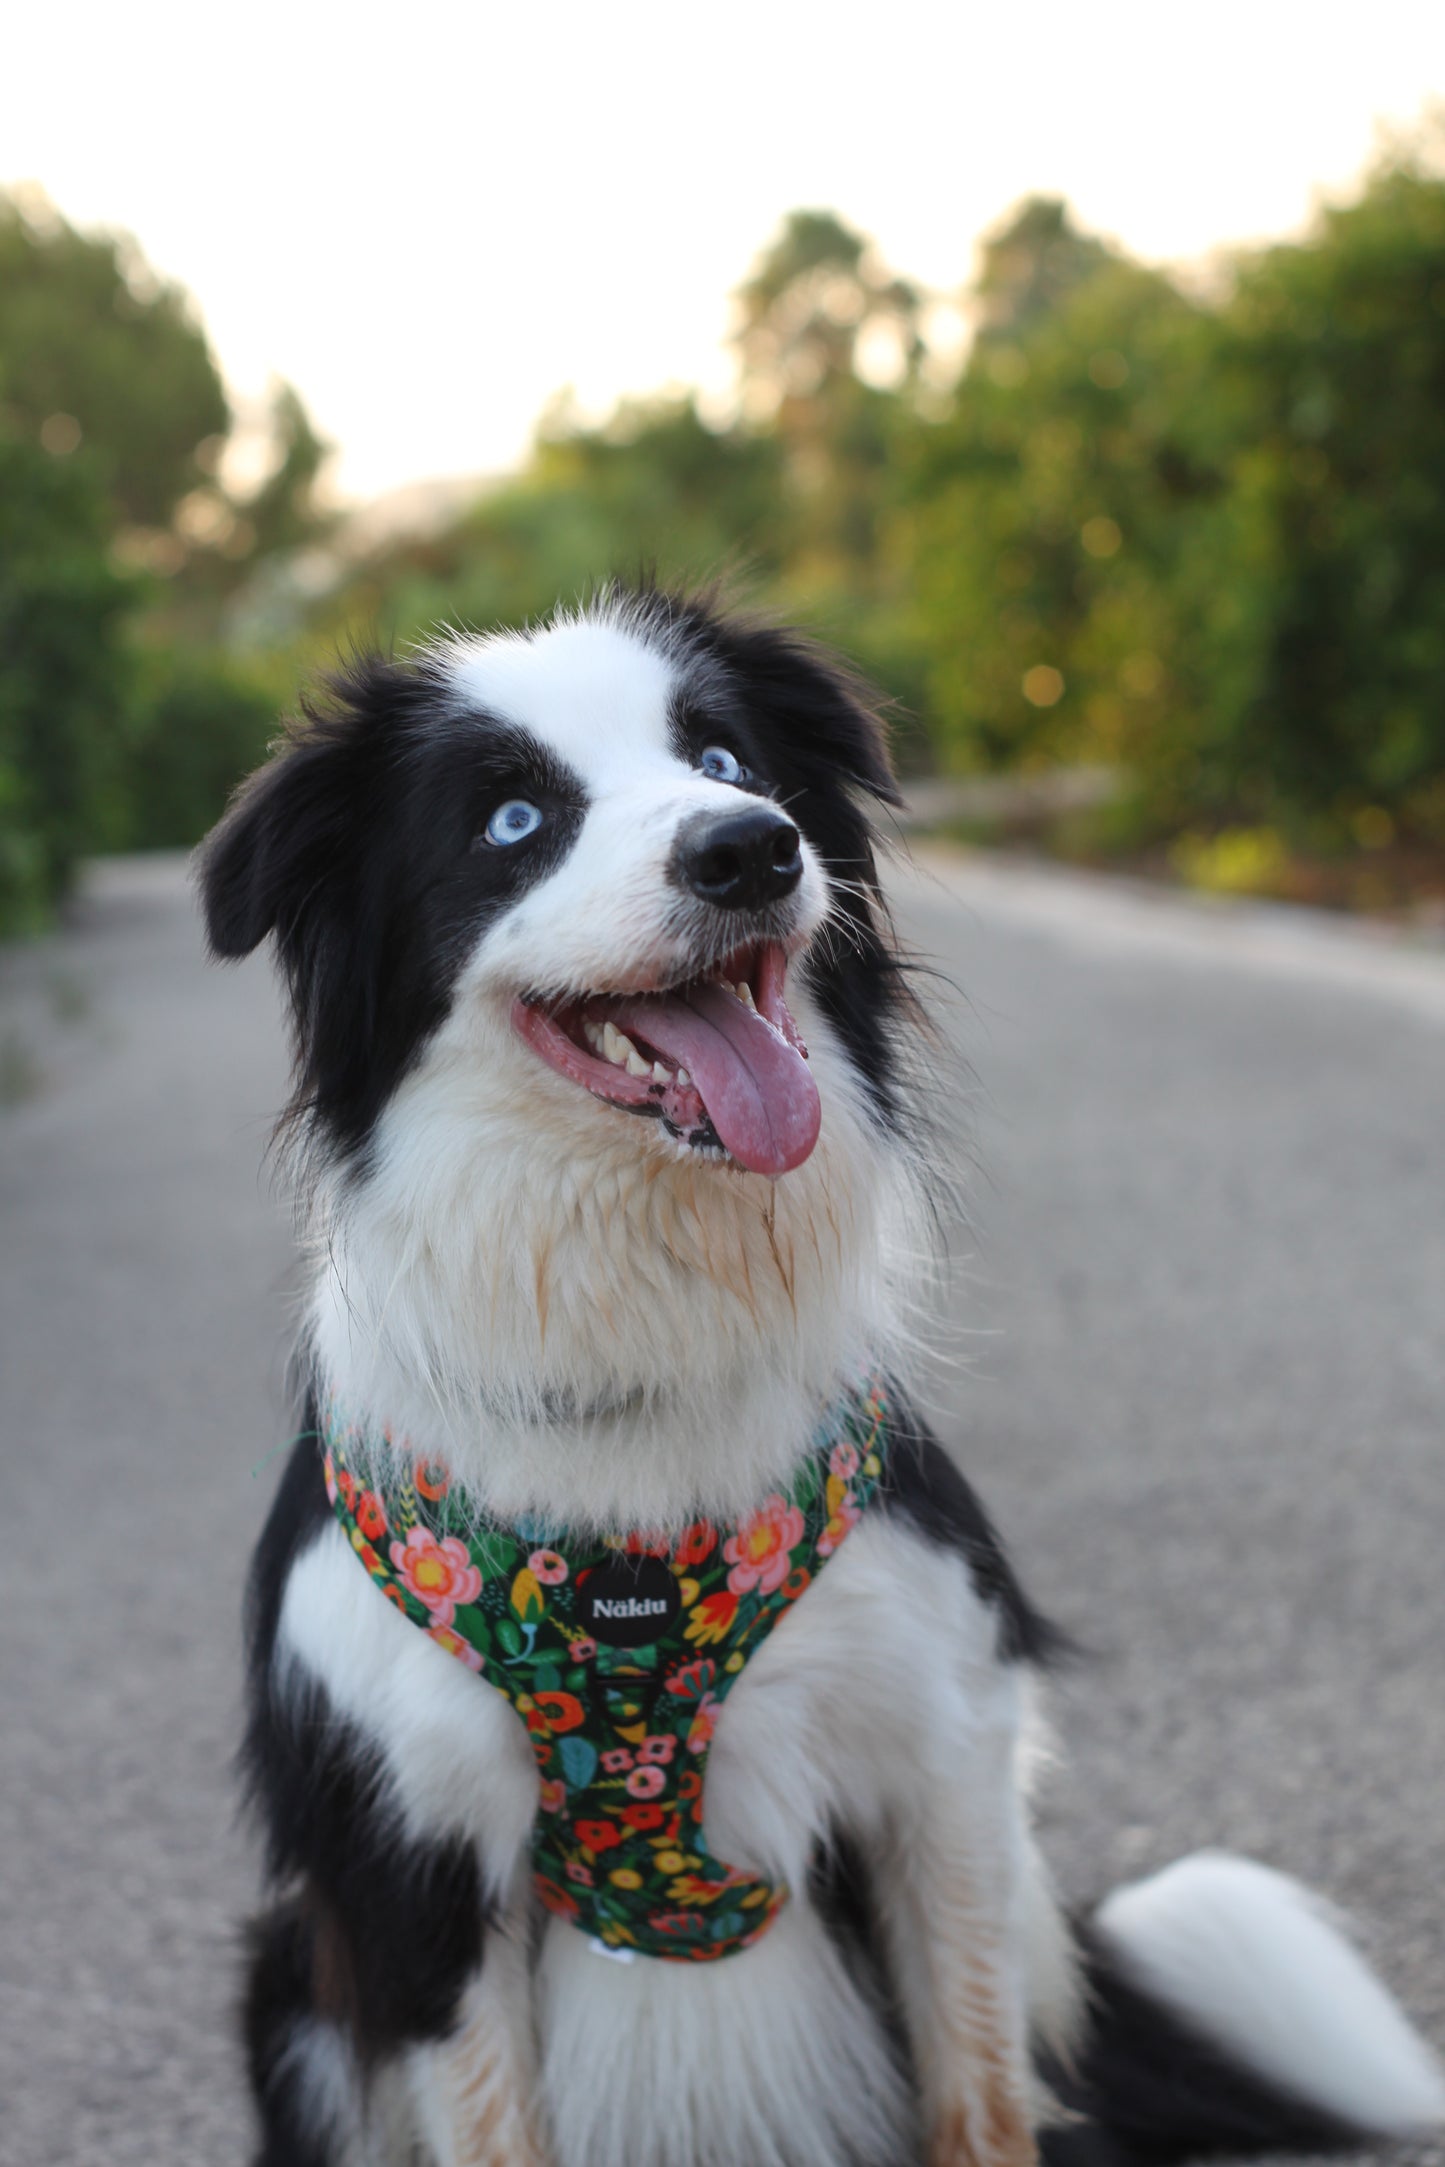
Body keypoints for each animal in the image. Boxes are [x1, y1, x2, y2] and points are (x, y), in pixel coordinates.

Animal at [203, 589, 1445, 2167]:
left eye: (724, 754)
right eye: (511, 819)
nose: (748, 847)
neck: (644, 1319)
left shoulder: (945, 1750)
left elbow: (978, 2089)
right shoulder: (409, 1851)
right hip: (291, 1986)